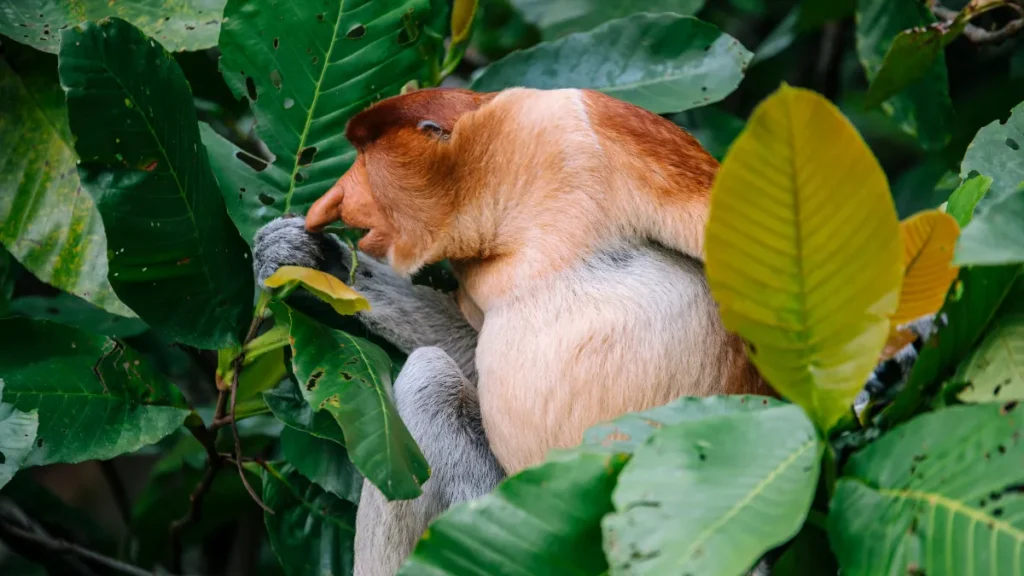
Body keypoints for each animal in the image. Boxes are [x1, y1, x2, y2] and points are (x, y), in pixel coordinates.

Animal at [253, 86, 775, 575]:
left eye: (365, 157)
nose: (333, 199)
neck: (511, 200)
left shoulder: (614, 130)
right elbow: (469, 343)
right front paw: (300, 253)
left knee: (427, 381)